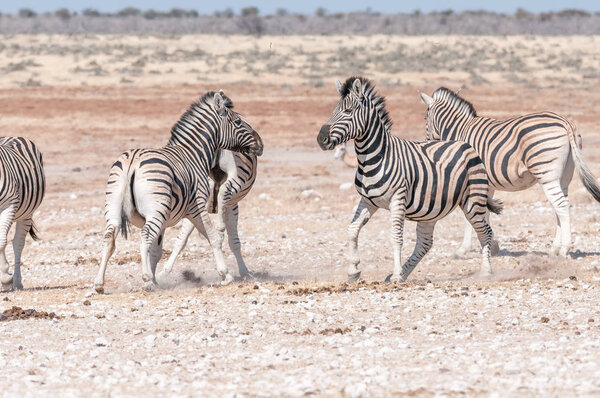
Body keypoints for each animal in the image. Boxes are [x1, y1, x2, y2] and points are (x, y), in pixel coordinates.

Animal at [0, 137, 44, 290]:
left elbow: (2, 241)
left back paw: (17, 282)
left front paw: (5, 278)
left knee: (18, 243)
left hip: (27, 213)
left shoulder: (9, 205)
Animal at [156, 148, 256, 282]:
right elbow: (234, 242)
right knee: (224, 190)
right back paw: (220, 228)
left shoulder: (193, 205)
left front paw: (163, 273)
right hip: (237, 175)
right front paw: (244, 271)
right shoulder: (232, 205)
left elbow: (181, 239)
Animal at [316, 78, 504, 282]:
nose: (321, 139)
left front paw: (397, 273)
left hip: (472, 200)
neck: (375, 158)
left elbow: (396, 236)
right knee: (425, 243)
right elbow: (352, 230)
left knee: (485, 232)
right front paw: (354, 270)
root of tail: (466, 145)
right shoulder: (368, 201)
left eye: (348, 111)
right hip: (431, 209)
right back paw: (404, 272)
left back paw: (486, 271)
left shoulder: (398, 198)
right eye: (333, 110)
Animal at [418, 87, 600, 256]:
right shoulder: (487, 184)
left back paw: (564, 249)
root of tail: (564, 122)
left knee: (561, 205)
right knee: (560, 206)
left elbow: (472, 215)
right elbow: (485, 214)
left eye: (425, 118)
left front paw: (464, 249)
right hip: (564, 176)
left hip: (546, 172)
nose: (428, 141)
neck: (460, 130)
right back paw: (554, 248)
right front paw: (491, 245)